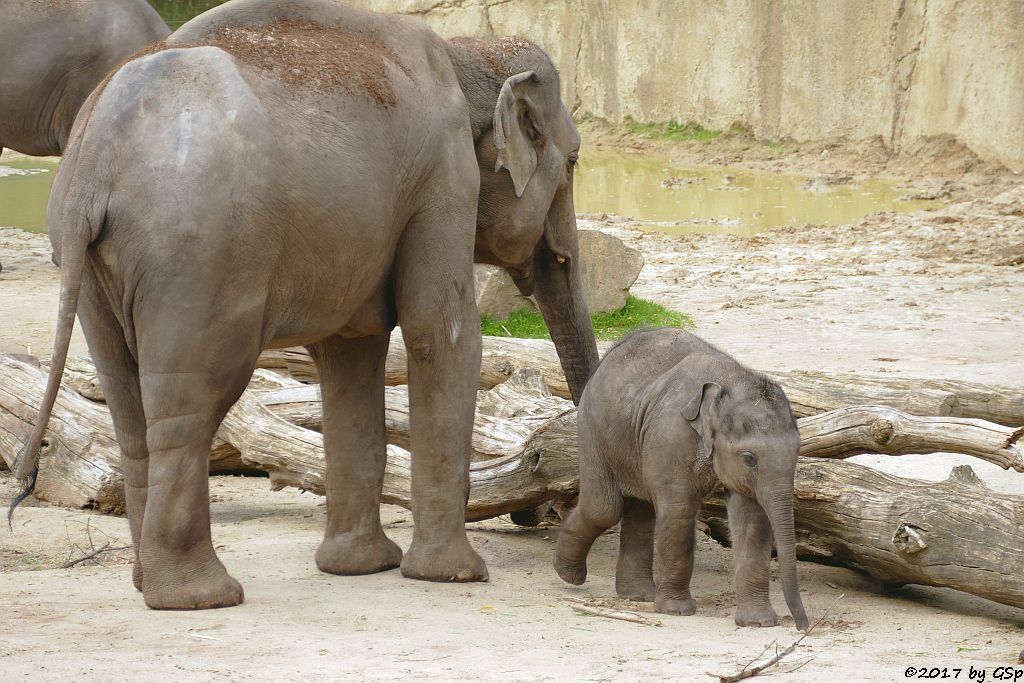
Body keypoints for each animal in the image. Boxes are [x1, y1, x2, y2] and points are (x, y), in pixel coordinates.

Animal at [552, 327, 806, 634]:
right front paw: (677, 611)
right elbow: (678, 511)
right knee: (604, 508)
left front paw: (758, 623)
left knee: (640, 510)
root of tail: (612, 352)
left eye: (798, 451)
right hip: (593, 430)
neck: (729, 381)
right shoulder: (672, 435)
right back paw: (568, 575)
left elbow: (752, 520)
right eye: (749, 458)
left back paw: (637, 596)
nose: (803, 626)